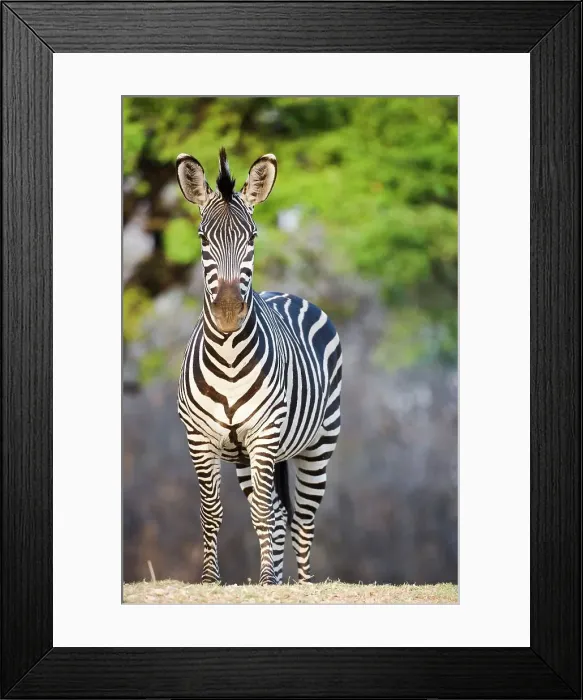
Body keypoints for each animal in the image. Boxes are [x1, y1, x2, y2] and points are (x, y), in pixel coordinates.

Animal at [176, 148, 342, 585]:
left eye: (251, 238)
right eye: (202, 238)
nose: (228, 312)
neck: (230, 357)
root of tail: (286, 293)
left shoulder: (264, 435)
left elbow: (264, 513)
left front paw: (268, 581)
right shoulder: (199, 438)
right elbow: (213, 512)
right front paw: (210, 582)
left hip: (319, 443)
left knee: (302, 518)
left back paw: (300, 585)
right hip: (246, 458)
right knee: (282, 513)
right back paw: (280, 583)